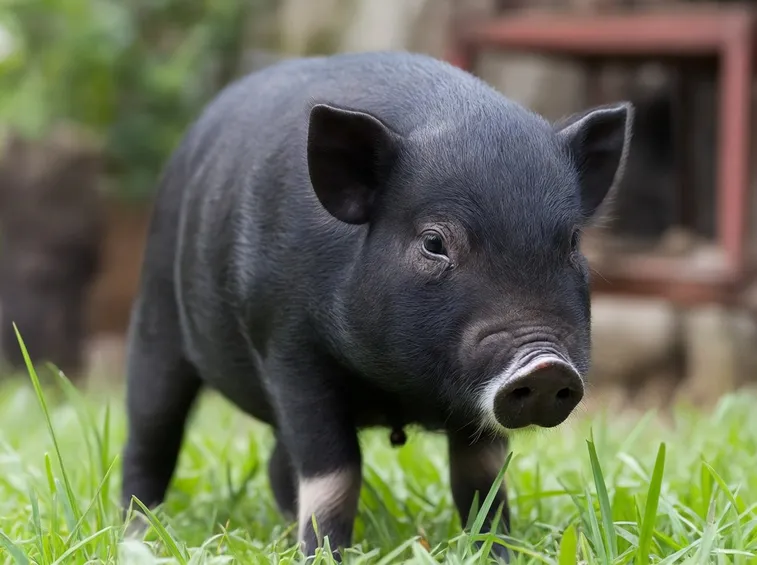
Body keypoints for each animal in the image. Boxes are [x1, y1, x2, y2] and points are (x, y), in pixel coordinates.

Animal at [121, 51, 633, 560]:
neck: (399, 390)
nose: (546, 365)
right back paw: (135, 534)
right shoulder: (288, 347)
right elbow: (335, 473)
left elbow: (482, 479)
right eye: (434, 243)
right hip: (156, 316)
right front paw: (323, 555)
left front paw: (498, 552)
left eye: (572, 242)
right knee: (150, 435)